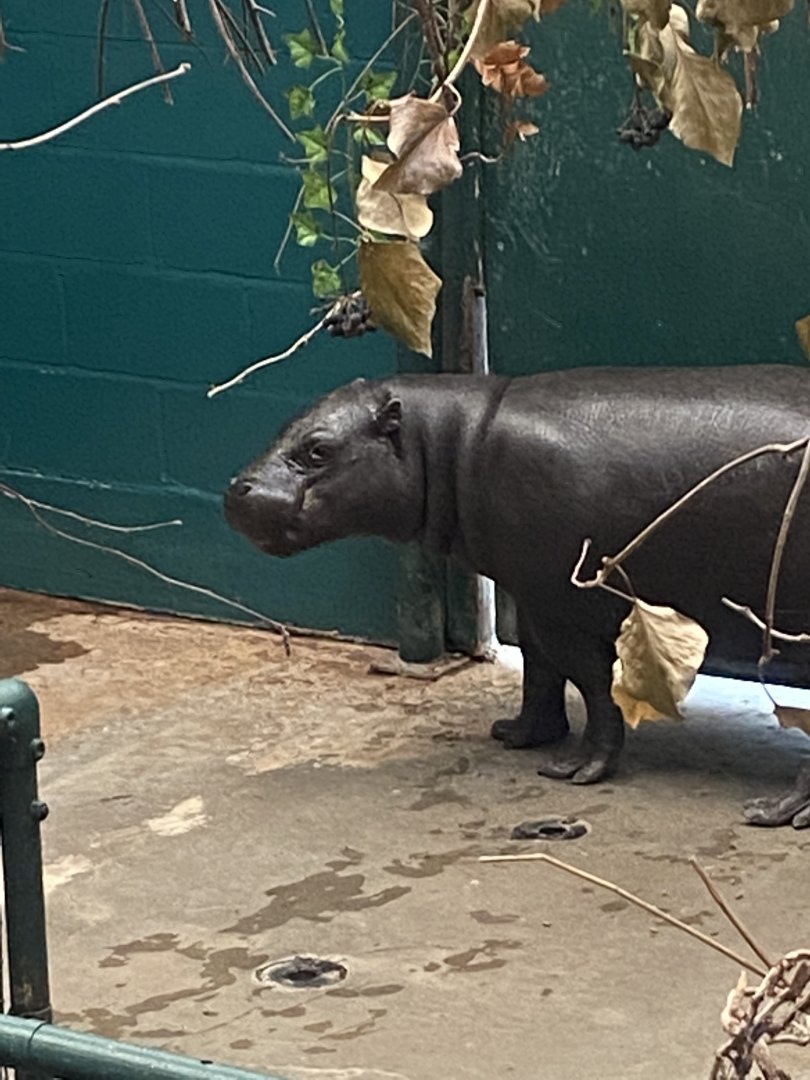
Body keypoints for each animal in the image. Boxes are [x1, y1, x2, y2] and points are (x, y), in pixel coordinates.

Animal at [224, 365, 810, 827]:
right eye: (285, 426)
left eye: (318, 449)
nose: (236, 490)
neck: (448, 440)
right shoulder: (532, 595)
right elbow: (538, 669)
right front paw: (518, 734)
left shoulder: (563, 607)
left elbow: (591, 684)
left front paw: (573, 770)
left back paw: (772, 811)